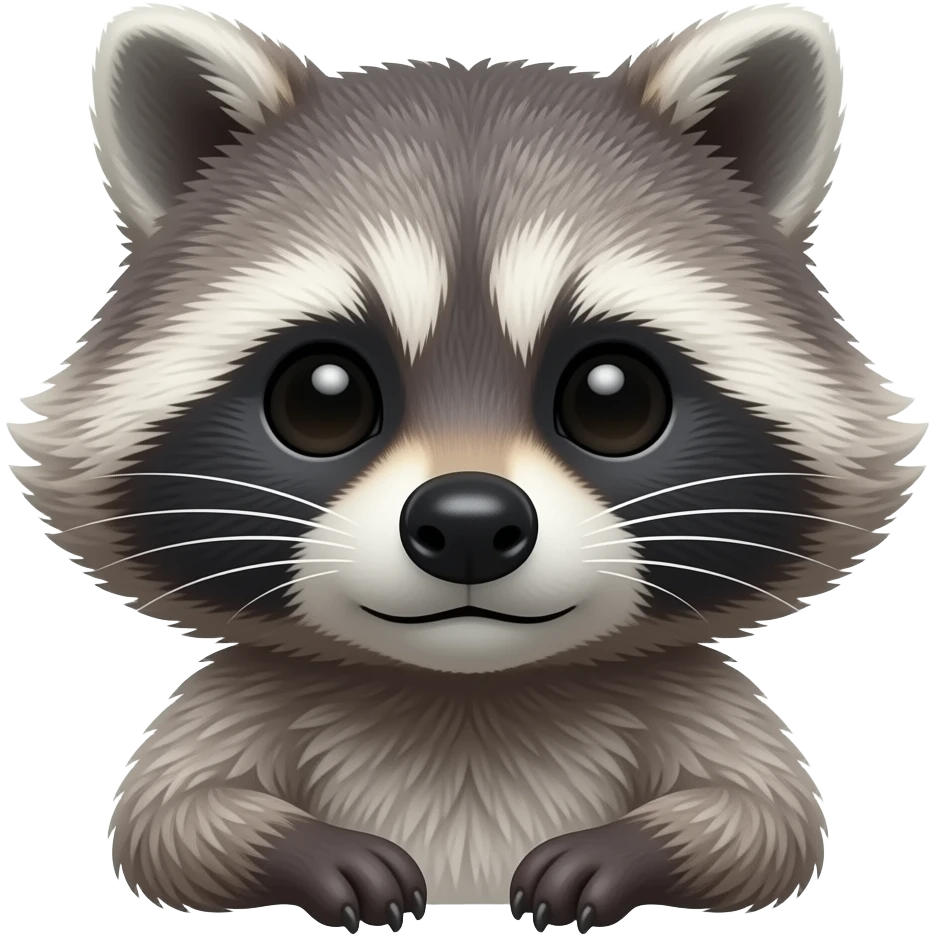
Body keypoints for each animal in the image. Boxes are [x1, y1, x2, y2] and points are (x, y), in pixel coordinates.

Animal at [9, 2, 920, 930]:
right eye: (323, 397)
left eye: (613, 397)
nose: (471, 522)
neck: (468, 688)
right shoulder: (245, 696)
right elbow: (171, 820)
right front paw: (304, 848)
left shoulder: (690, 695)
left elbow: (765, 819)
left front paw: (632, 848)